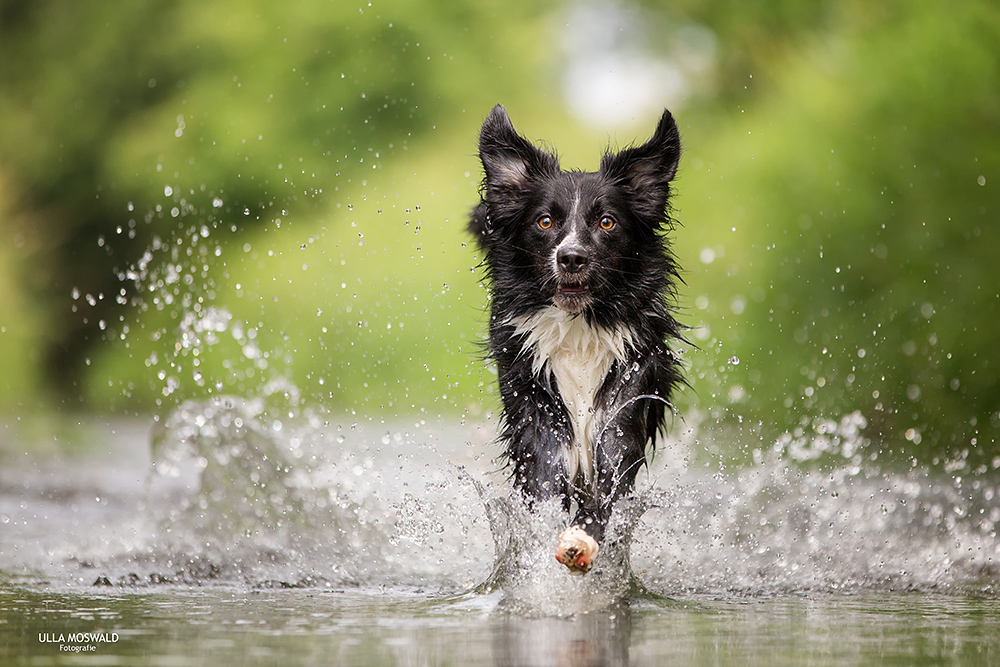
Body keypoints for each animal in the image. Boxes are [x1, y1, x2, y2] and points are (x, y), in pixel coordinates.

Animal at [470, 107, 688, 576]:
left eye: (607, 222)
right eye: (544, 221)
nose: (571, 257)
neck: (578, 331)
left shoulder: (626, 398)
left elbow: (609, 480)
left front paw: (582, 540)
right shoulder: (536, 409)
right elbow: (544, 481)